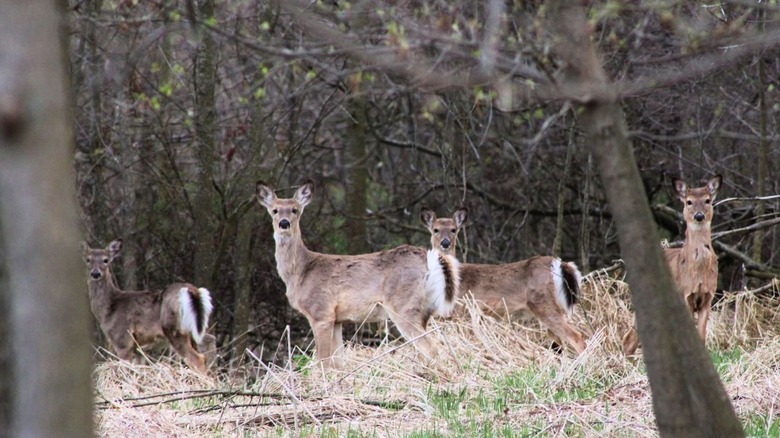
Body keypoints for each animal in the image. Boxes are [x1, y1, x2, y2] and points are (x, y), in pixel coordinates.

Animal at [83, 239, 214, 373]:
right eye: (88, 259)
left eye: (106, 260)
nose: (95, 273)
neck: (109, 309)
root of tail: (193, 291)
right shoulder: (139, 348)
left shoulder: (123, 340)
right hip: (196, 330)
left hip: (174, 329)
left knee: (198, 359)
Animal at [255, 180, 460, 368]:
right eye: (274, 210)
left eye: (295, 210)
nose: (284, 223)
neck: (300, 272)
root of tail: (429, 259)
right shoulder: (337, 320)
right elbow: (337, 362)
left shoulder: (321, 312)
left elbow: (322, 361)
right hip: (425, 309)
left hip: (403, 305)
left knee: (431, 348)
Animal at [421, 207, 587, 354]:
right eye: (435, 229)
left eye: (454, 229)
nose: (445, 243)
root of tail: (561, 264)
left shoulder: (461, 312)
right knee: (559, 344)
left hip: (544, 303)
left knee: (576, 337)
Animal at [622, 175, 721, 356]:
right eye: (689, 201)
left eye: (707, 200)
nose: (699, 216)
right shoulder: (685, 295)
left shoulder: (708, 296)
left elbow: (701, 336)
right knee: (630, 338)